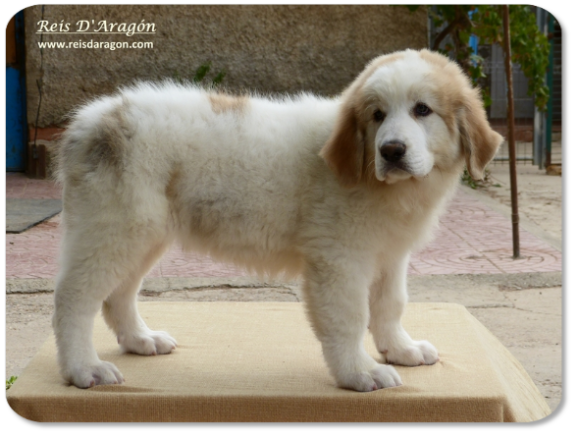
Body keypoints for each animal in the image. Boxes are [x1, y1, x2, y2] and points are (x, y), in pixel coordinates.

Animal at [51, 49, 500, 390]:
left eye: (423, 110)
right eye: (377, 115)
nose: (391, 150)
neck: (382, 183)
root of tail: (89, 123)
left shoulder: (390, 254)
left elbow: (390, 304)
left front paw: (402, 350)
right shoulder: (339, 259)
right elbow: (350, 318)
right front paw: (359, 372)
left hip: (143, 234)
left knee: (119, 295)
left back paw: (141, 339)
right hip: (114, 227)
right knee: (74, 298)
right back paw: (83, 368)